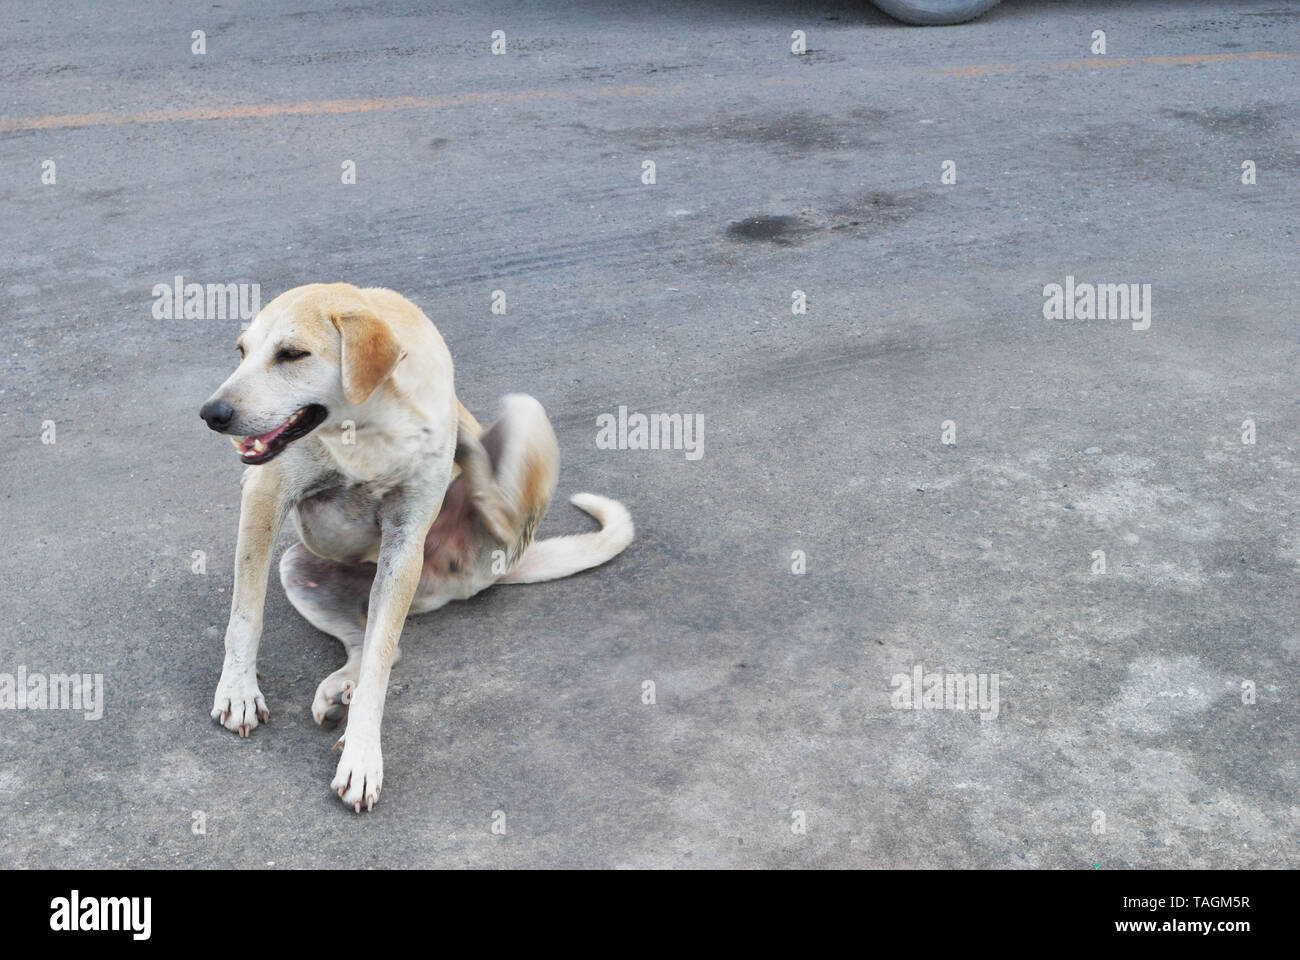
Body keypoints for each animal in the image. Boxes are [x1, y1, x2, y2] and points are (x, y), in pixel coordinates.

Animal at [196, 282, 634, 806]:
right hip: (296, 568)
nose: (212, 413)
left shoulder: (403, 545)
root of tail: (480, 574)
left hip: (524, 415)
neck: (364, 425)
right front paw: (238, 690)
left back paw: (489, 497)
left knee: (498, 518)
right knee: (364, 643)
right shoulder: (264, 496)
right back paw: (339, 689)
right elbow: (246, 614)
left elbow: (380, 663)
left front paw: (362, 755)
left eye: (292, 354)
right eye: (241, 352)